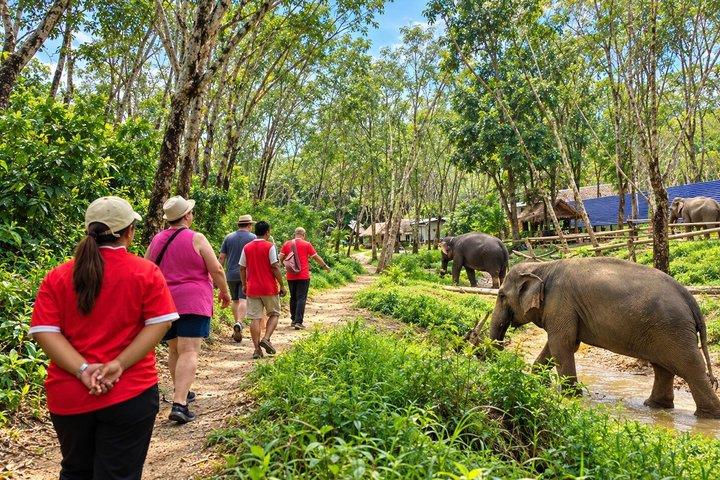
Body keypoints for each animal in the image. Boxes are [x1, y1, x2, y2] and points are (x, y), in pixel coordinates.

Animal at [489, 257, 720, 419]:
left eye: (501, 296)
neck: (542, 266)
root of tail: (690, 298)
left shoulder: (561, 302)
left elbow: (562, 344)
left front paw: (570, 396)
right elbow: (560, 344)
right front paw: (535, 382)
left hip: (673, 328)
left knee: (689, 366)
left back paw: (707, 416)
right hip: (663, 329)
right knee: (662, 367)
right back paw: (654, 406)